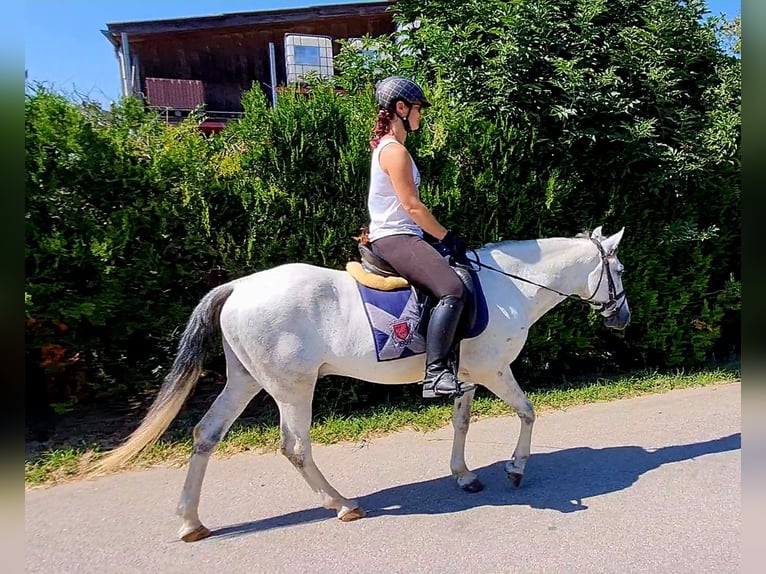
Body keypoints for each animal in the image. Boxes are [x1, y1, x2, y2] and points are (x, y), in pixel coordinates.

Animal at [93, 226, 632, 544]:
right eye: (620, 271)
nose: (623, 318)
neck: (509, 285)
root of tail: (239, 287)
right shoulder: (494, 371)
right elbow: (527, 411)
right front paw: (516, 469)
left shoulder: (467, 376)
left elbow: (461, 424)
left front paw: (464, 476)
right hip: (292, 388)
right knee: (295, 447)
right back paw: (342, 505)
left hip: (244, 381)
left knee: (205, 435)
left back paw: (190, 521)